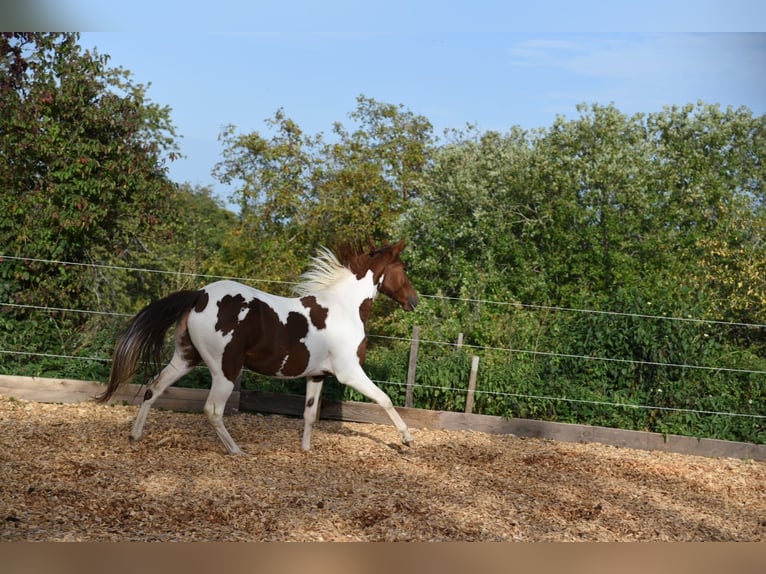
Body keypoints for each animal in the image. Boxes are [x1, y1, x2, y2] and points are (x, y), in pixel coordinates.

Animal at [96, 240, 419, 454]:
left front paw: (306, 450)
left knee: (153, 388)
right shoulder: (349, 372)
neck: (343, 308)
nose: (414, 301)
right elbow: (385, 399)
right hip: (225, 370)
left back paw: (135, 436)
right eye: (403, 268)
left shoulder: (316, 376)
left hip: (186, 357)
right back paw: (236, 450)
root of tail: (199, 295)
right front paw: (406, 439)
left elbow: (309, 415)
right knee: (212, 409)